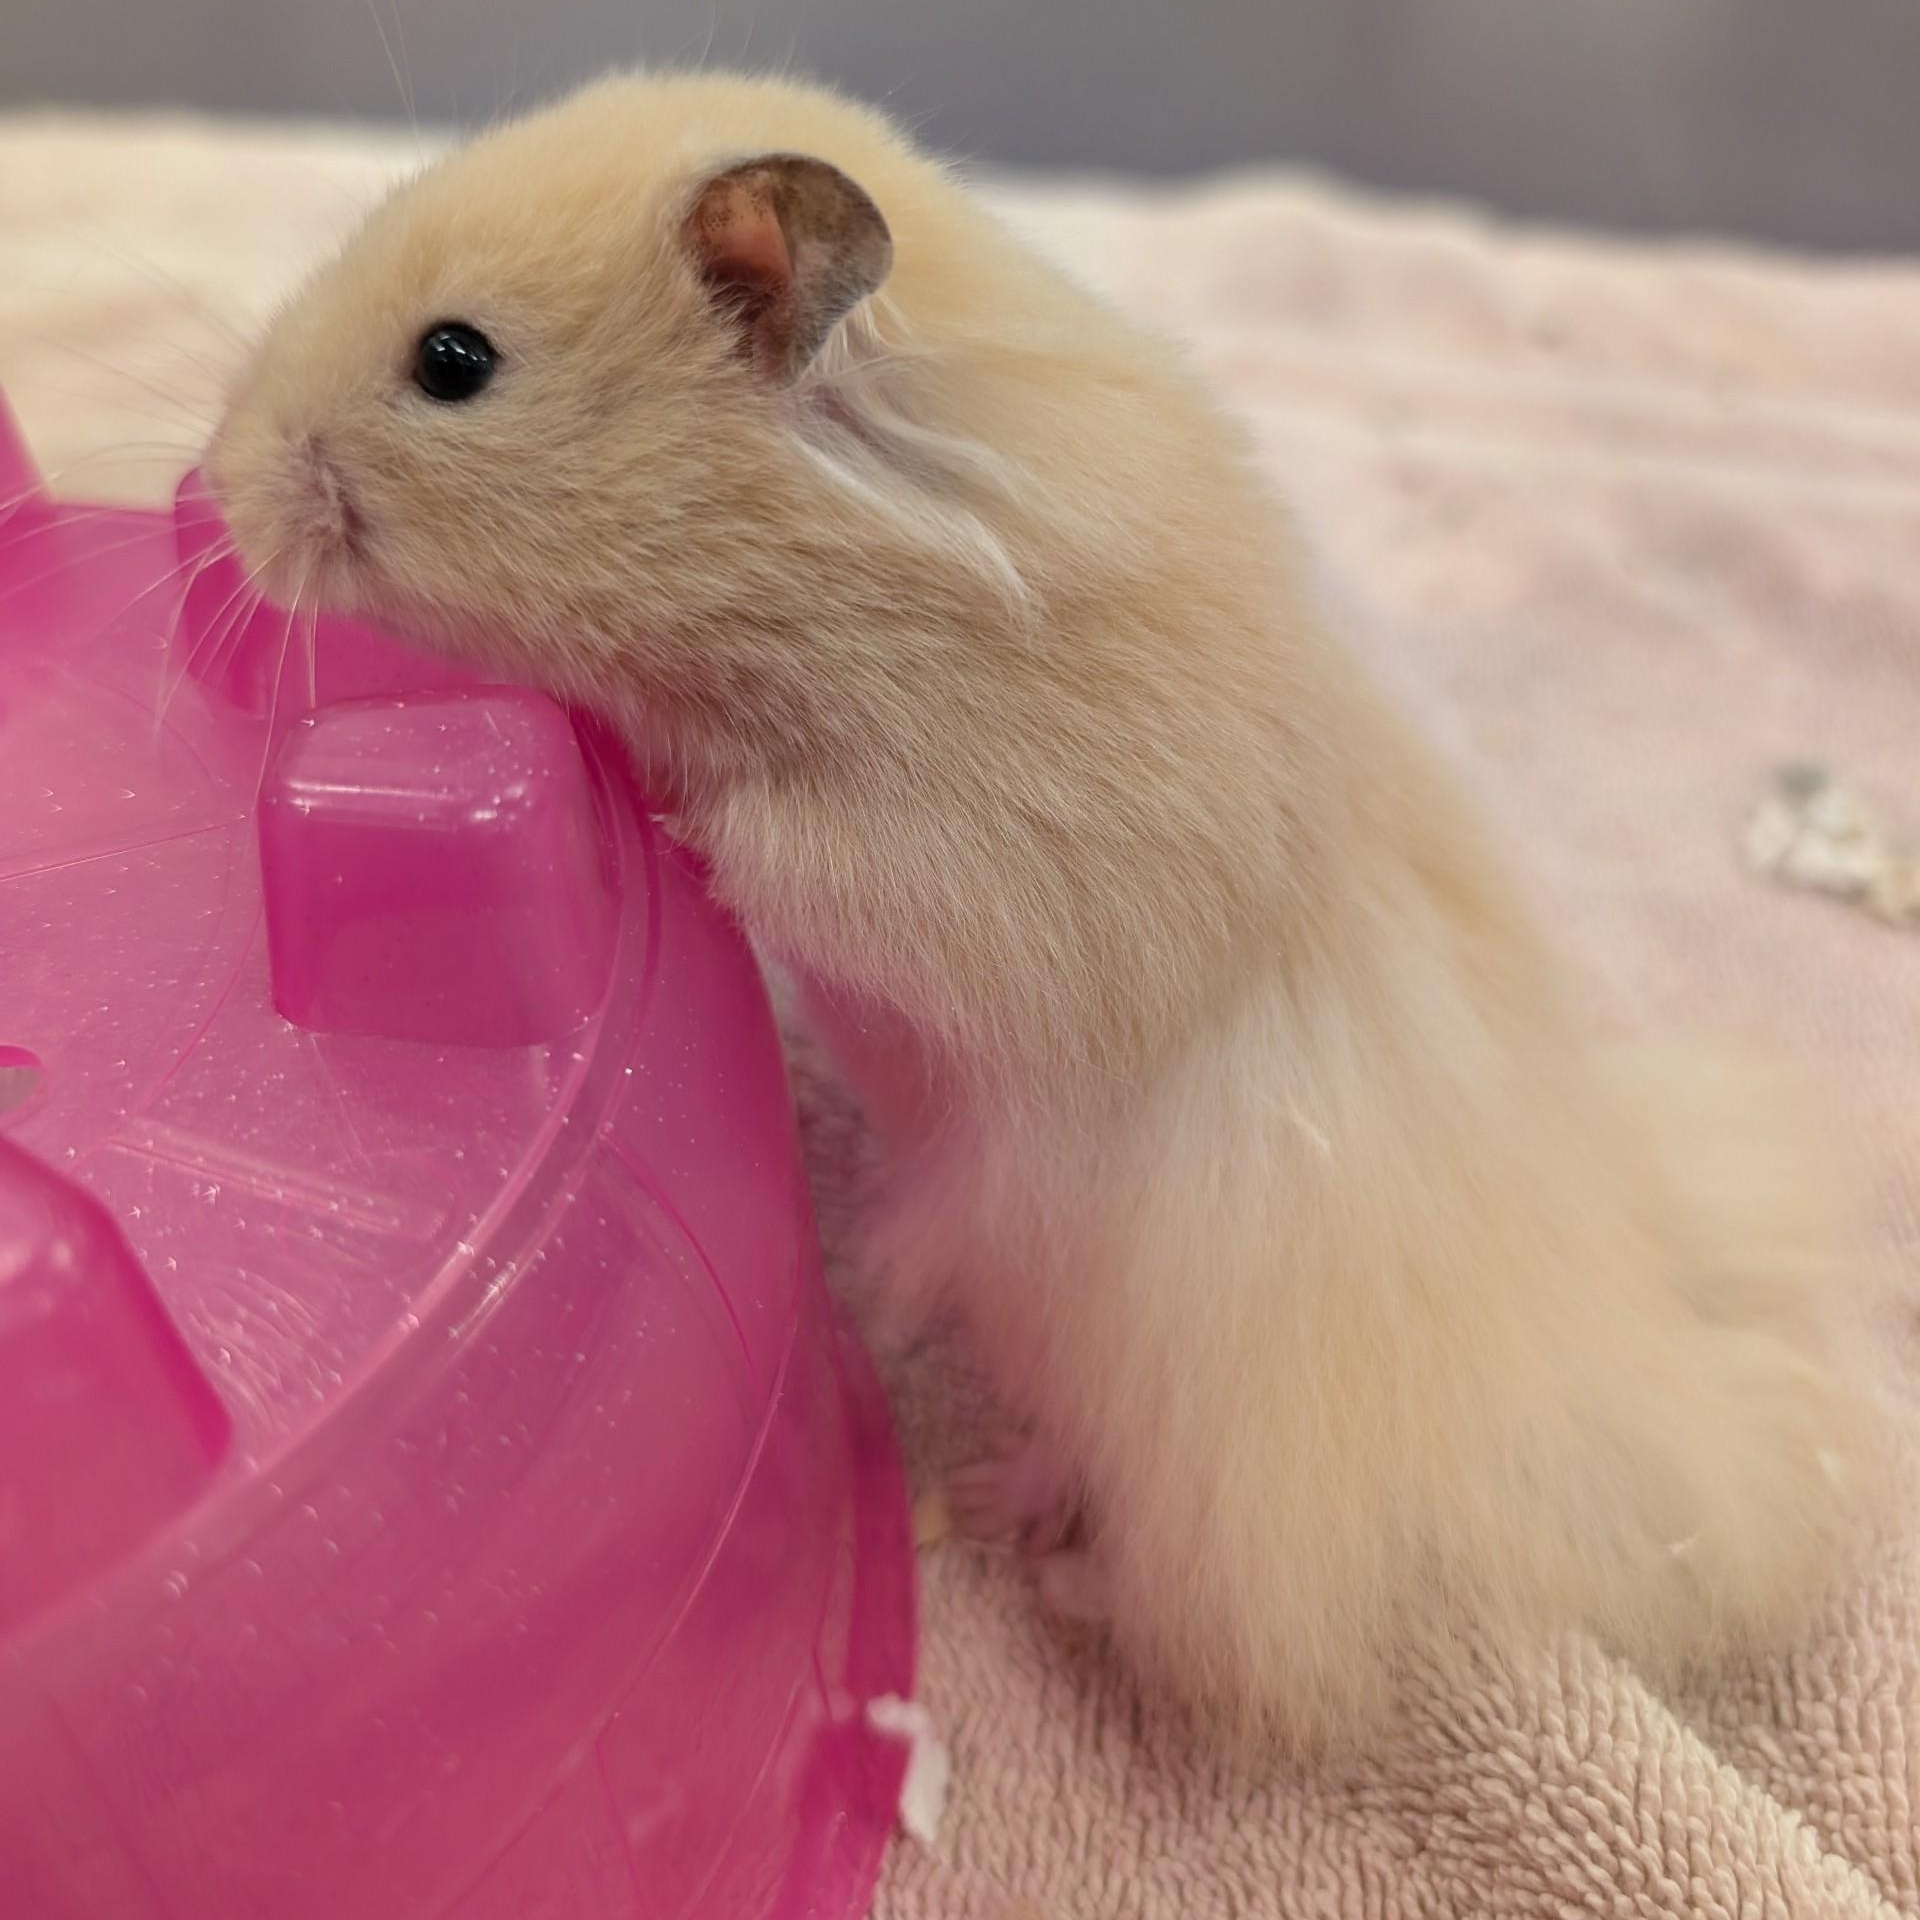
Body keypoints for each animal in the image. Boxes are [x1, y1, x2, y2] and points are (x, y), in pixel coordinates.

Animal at [210, 71, 1876, 1751]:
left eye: (454, 361)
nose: (219, 483)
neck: (817, 564)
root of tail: (1590, 1355)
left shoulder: (984, 872)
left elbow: (778, 842)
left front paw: (659, 801)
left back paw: (1033, 1544)